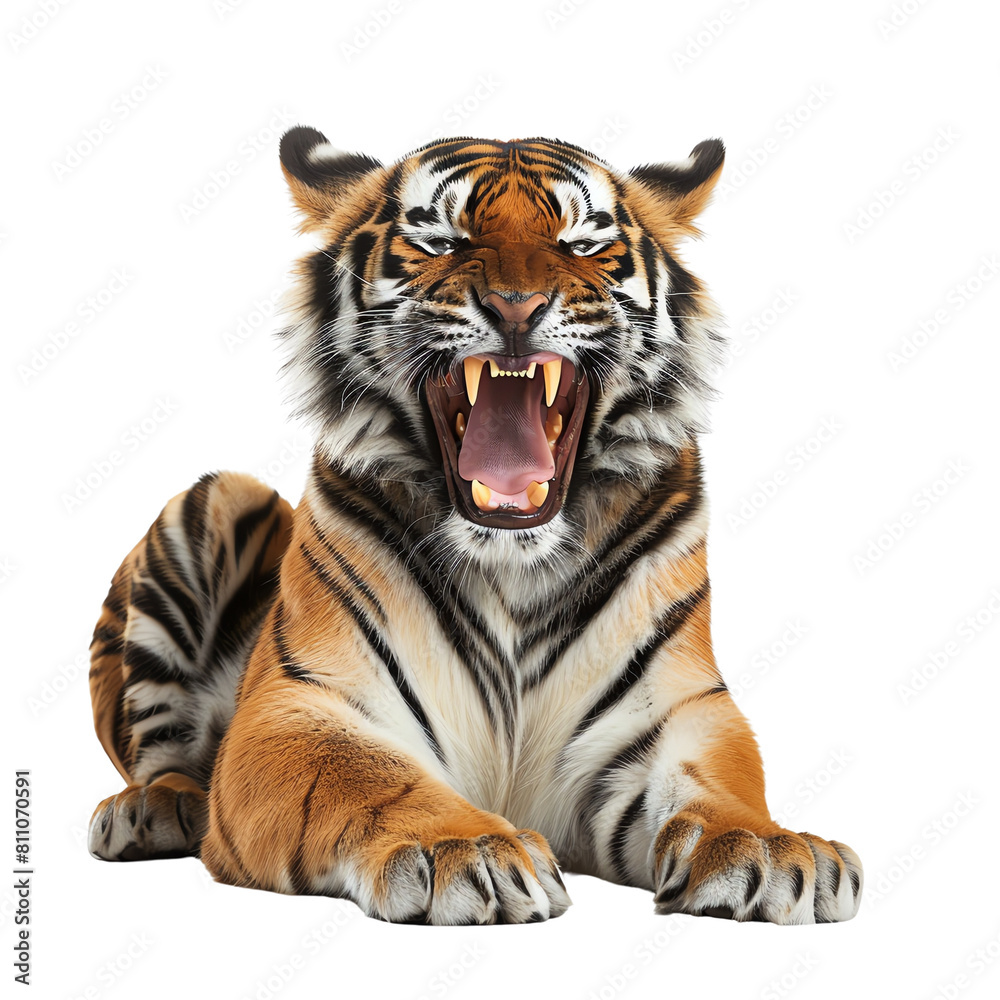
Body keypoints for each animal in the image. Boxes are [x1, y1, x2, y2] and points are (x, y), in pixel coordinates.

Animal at [86, 126, 863, 925]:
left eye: (581, 243)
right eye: (442, 241)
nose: (516, 307)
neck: (513, 565)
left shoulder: (677, 710)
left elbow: (721, 781)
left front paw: (768, 847)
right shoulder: (299, 704)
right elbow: (366, 775)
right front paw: (462, 848)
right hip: (214, 501)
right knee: (161, 751)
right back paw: (152, 809)